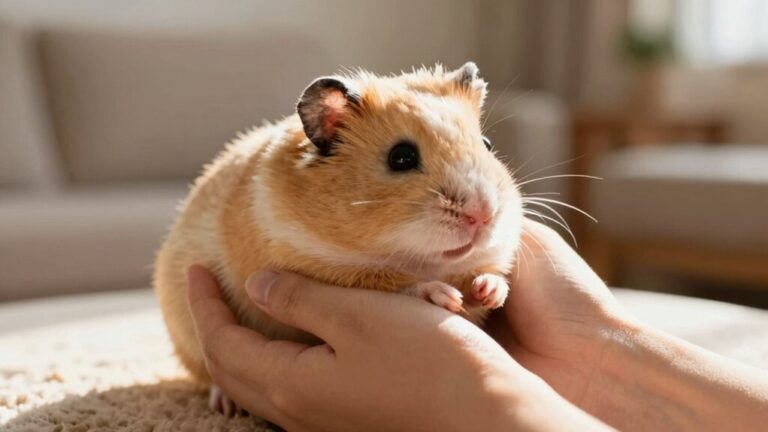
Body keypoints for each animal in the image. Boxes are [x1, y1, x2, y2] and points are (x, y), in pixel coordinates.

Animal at [154, 62, 523, 406]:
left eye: (488, 145)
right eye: (401, 157)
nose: (484, 214)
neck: (420, 258)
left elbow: (488, 275)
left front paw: (488, 292)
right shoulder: (321, 266)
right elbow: (402, 284)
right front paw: (446, 296)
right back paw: (227, 405)